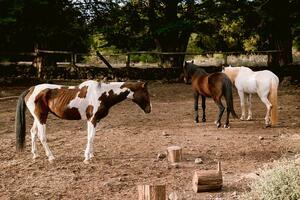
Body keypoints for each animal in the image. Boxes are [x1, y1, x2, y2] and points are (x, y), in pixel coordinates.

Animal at [15, 80, 151, 163]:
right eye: (145, 93)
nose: (149, 109)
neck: (103, 94)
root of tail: (30, 89)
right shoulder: (93, 119)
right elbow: (90, 137)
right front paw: (87, 158)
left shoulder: (94, 120)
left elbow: (91, 137)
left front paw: (90, 155)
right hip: (41, 117)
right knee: (42, 136)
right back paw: (51, 157)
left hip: (37, 118)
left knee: (33, 132)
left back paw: (35, 155)